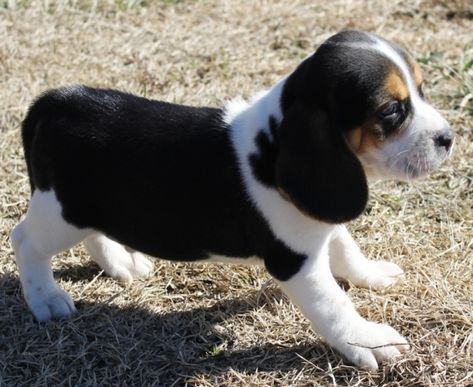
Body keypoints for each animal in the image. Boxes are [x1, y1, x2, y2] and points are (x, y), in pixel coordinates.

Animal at [12, 30, 452, 370]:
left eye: (422, 90)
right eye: (391, 111)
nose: (448, 138)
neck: (272, 140)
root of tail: (55, 102)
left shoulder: (320, 221)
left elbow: (344, 246)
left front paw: (370, 274)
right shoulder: (296, 262)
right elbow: (333, 305)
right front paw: (368, 341)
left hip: (83, 208)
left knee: (93, 232)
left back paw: (119, 262)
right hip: (59, 212)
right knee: (24, 240)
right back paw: (46, 298)